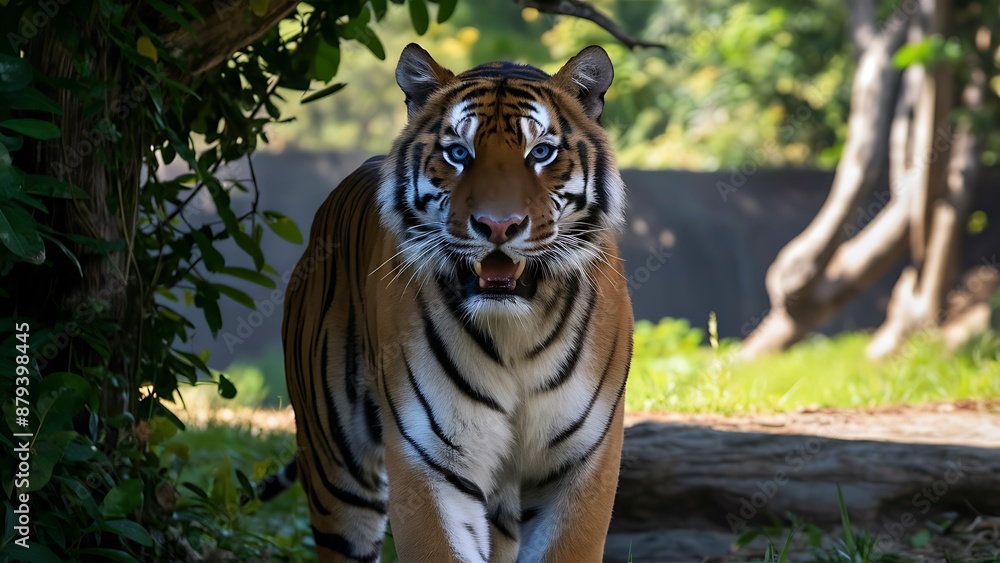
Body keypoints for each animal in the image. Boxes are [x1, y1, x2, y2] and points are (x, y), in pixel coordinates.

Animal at [280, 43, 634, 562]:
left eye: (541, 152)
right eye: (459, 154)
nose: (498, 226)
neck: (516, 332)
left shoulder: (583, 461)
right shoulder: (430, 460)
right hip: (336, 470)